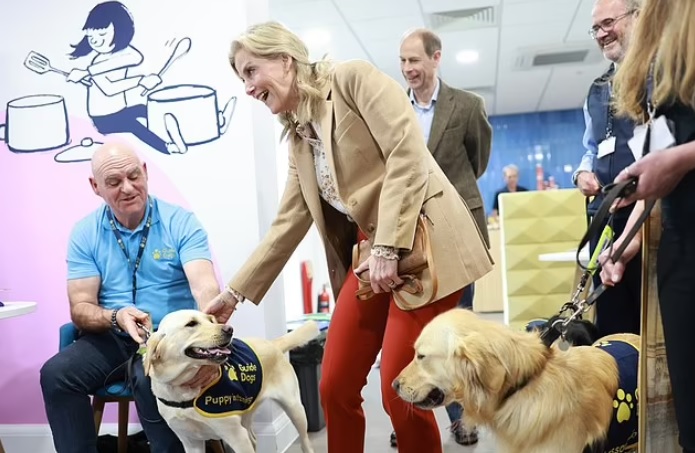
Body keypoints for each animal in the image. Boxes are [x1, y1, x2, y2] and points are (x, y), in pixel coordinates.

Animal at [148, 308, 322, 450]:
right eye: (191, 324)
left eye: (211, 320)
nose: (229, 329)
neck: (183, 393)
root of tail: (272, 343)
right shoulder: (190, 442)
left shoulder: (236, 436)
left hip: (295, 409)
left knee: (305, 442)